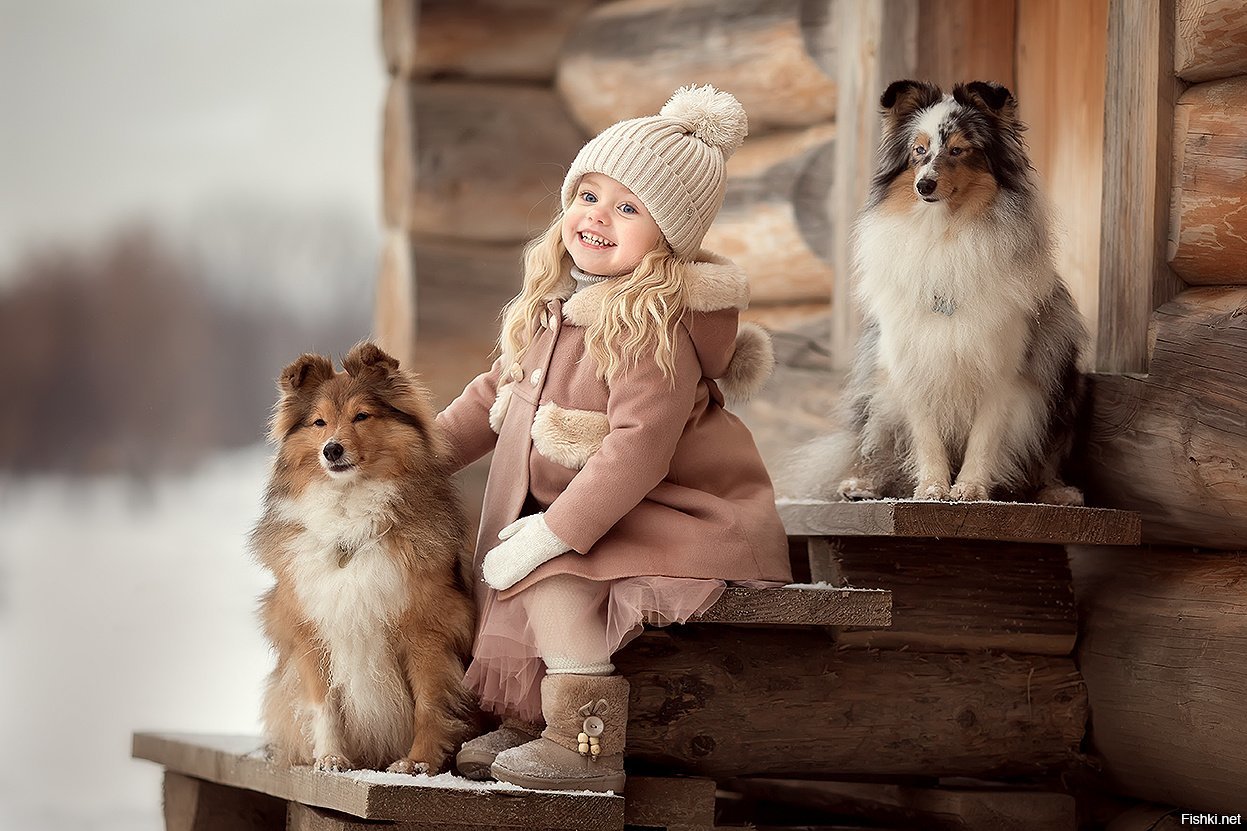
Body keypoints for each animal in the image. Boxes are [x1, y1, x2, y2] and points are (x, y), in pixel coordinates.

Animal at [250, 339, 473, 773]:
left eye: (362, 416)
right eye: (319, 422)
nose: (332, 450)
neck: (349, 518)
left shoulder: (427, 630)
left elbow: (429, 704)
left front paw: (418, 764)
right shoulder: (312, 629)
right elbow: (324, 704)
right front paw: (331, 758)